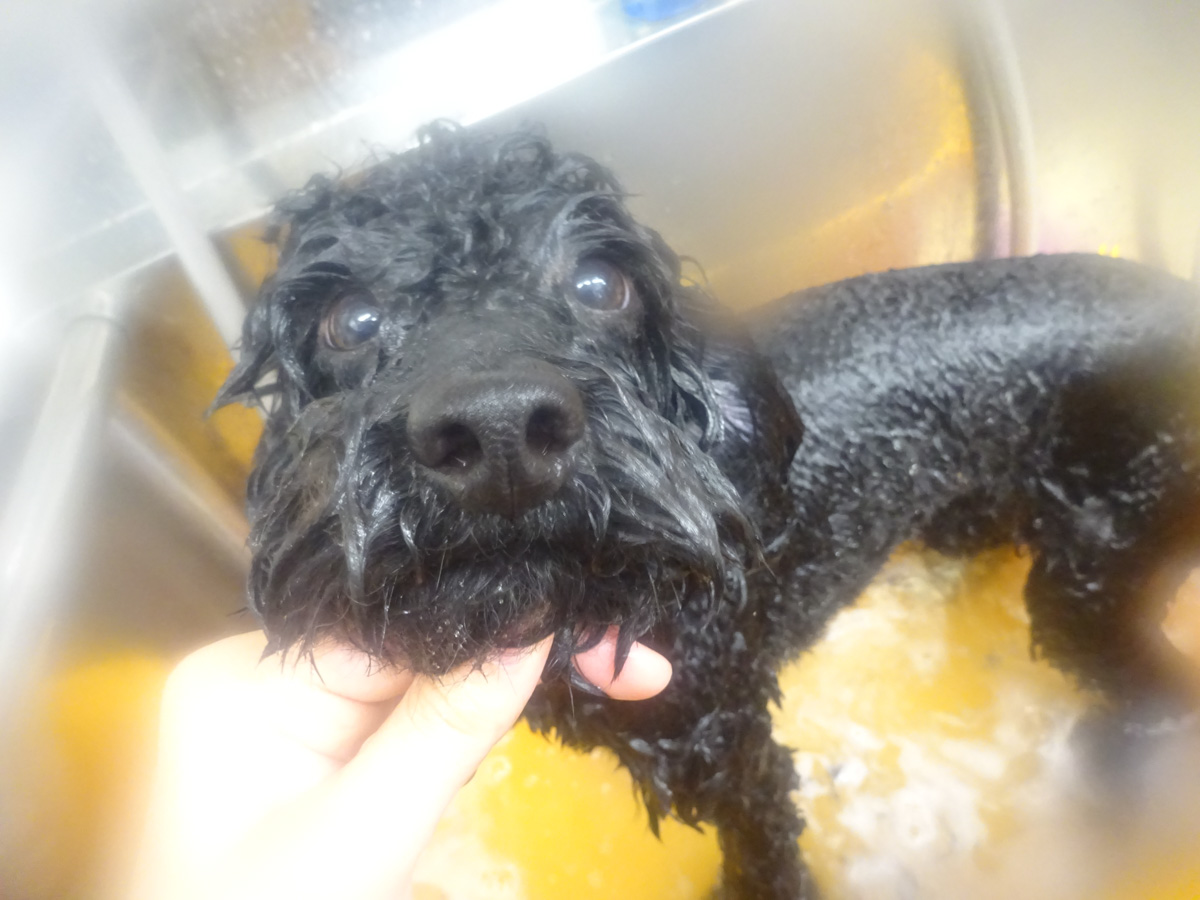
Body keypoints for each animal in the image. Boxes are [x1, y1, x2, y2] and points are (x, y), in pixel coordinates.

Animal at [216, 123, 1200, 898]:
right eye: (349, 317)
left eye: (601, 283)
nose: (497, 429)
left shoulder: (727, 746)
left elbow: (763, 847)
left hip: (1103, 558)